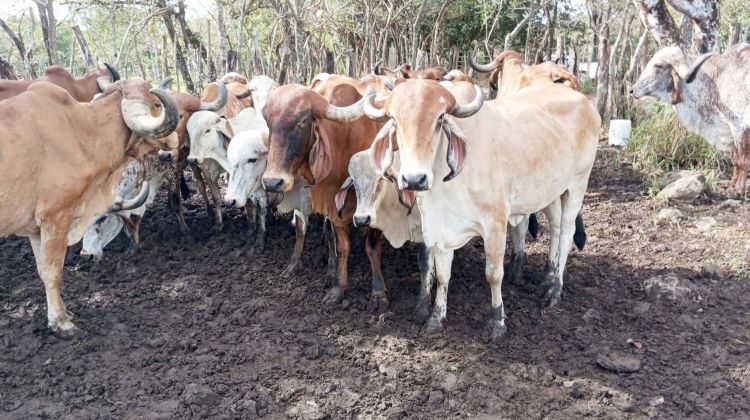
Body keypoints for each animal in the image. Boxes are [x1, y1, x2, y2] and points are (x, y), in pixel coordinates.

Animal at [0, 79, 179, 335]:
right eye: (156, 104)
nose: (175, 142)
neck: (81, 130)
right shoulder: (55, 217)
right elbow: (54, 273)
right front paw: (61, 322)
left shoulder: (34, 229)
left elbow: (42, 271)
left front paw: (64, 313)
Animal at [261, 78, 390, 309]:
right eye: (268, 123)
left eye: (302, 122)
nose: (272, 182)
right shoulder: (334, 208)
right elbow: (342, 247)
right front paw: (339, 289)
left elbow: (372, 247)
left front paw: (378, 293)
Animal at [361, 79, 600, 338]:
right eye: (394, 119)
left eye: (440, 118)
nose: (414, 179)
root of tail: (586, 101)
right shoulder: (440, 229)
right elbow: (442, 275)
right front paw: (435, 318)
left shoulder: (495, 224)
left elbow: (493, 275)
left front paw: (497, 321)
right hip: (551, 192)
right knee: (555, 229)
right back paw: (547, 277)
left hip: (578, 183)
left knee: (566, 235)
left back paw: (554, 291)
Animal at [631, 44, 750, 198]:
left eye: (658, 66)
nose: (632, 90)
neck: (719, 77)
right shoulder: (730, 129)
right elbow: (735, 160)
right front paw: (731, 187)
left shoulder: (739, 126)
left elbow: (742, 161)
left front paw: (737, 191)